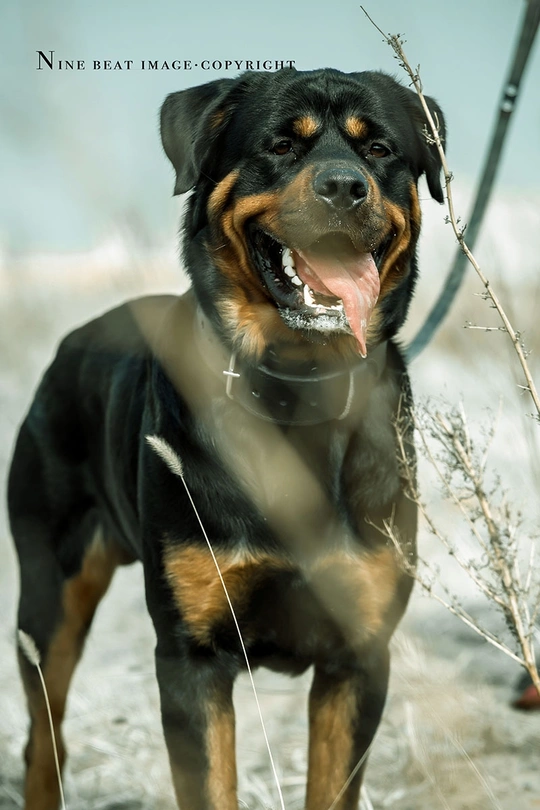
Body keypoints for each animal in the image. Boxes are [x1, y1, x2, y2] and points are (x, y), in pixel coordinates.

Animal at [9, 67, 445, 810]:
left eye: (380, 149)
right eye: (280, 144)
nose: (344, 186)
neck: (297, 389)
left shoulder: (359, 655)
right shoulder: (192, 657)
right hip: (49, 588)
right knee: (45, 735)